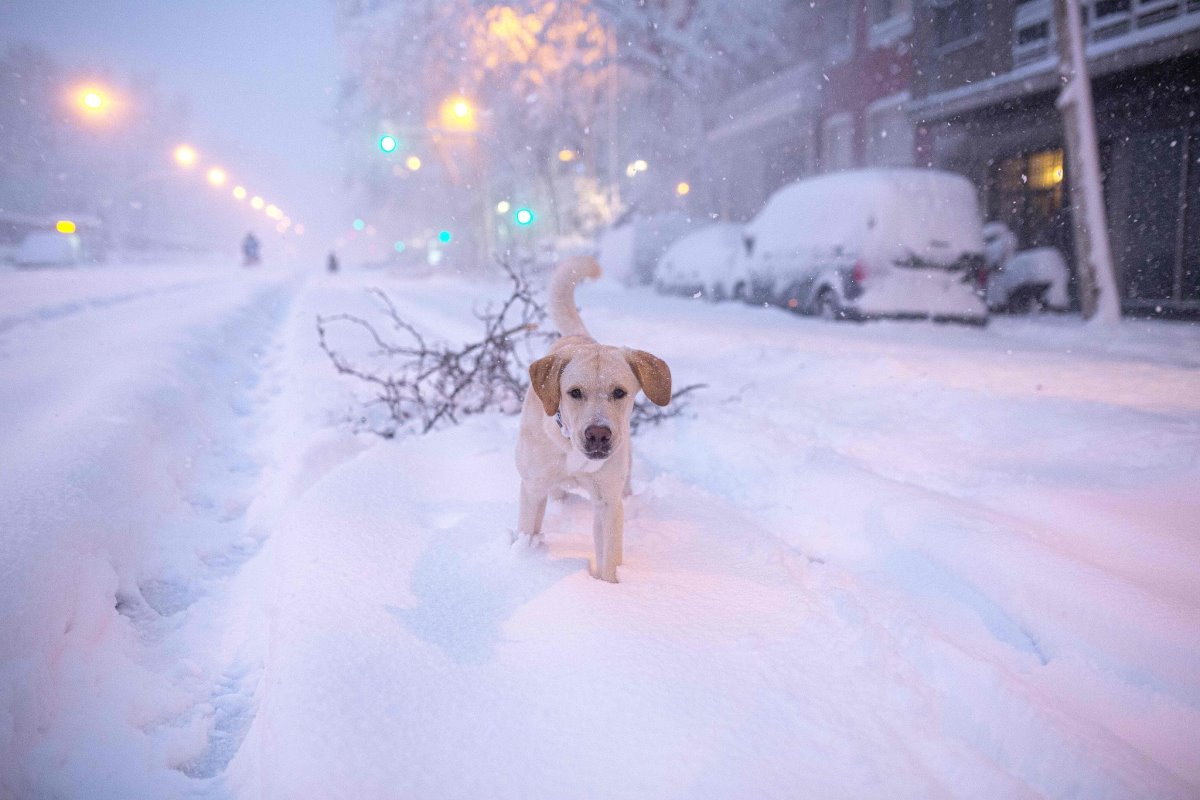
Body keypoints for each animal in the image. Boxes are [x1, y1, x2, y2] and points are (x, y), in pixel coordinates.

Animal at [513, 256, 672, 582]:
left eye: (619, 392)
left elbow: (608, 560)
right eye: (574, 392)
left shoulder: (607, 503)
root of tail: (580, 337)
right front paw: (527, 557)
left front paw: (606, 588)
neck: (570, 447)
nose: (598, 434)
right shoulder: (532, 489)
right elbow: (529, 530)